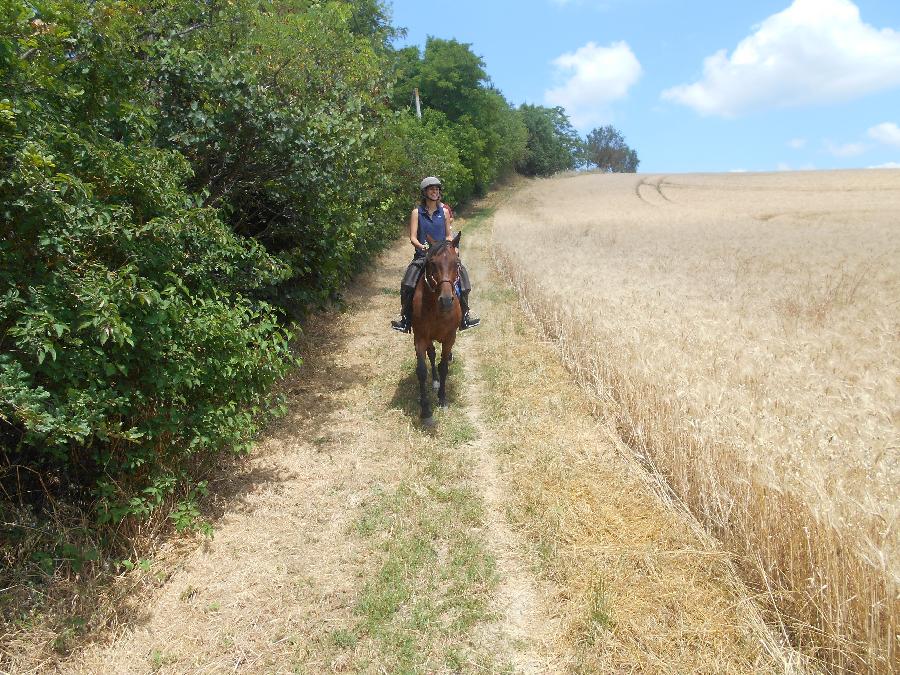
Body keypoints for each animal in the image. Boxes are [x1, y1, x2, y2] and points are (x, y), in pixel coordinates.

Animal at [410, 230, 460, 426]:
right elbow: (422, 371)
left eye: (457, 263)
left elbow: (443, 366)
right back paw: (435, 381)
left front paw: (442, 399)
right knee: (431, 355)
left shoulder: (449, 338)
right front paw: (425, 410)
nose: (446, 301)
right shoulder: (420, 337)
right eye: (432, 263)